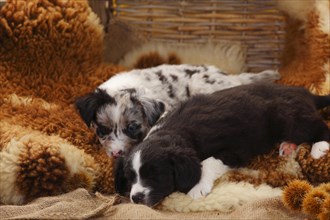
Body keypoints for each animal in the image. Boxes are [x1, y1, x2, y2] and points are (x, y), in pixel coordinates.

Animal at [114, 82, 330, 206]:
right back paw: (288, 146)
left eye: (155, 176)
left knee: (319, 126)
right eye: (130, 177)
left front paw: (197, 186)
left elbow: (208, 162)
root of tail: (308, 94)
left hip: (289, 117)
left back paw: (319, 147)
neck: (174, 131)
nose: (136, 198)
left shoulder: (236, 149)